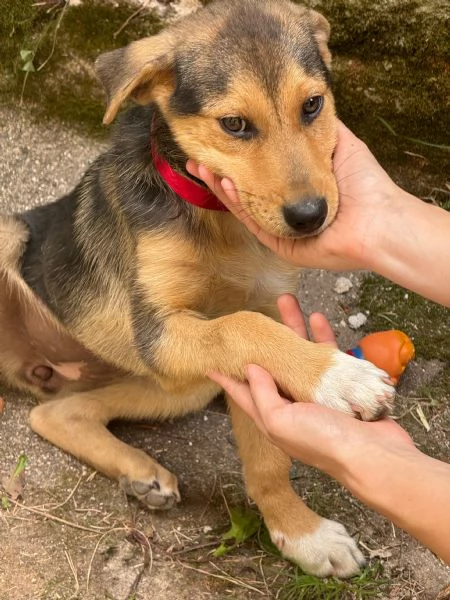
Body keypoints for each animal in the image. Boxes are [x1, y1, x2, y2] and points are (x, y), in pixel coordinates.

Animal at [0, 1, 394, 580]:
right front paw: (340, 376)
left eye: (313, 106)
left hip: (180, 382)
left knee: (55, 413)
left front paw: (302, 534)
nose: (310, 217)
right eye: (234, 124)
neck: (218, 219)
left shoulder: (248, 325)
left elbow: (266, 451)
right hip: (14, 237)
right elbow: (239, 327)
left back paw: (139, 473)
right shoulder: (160, 331)